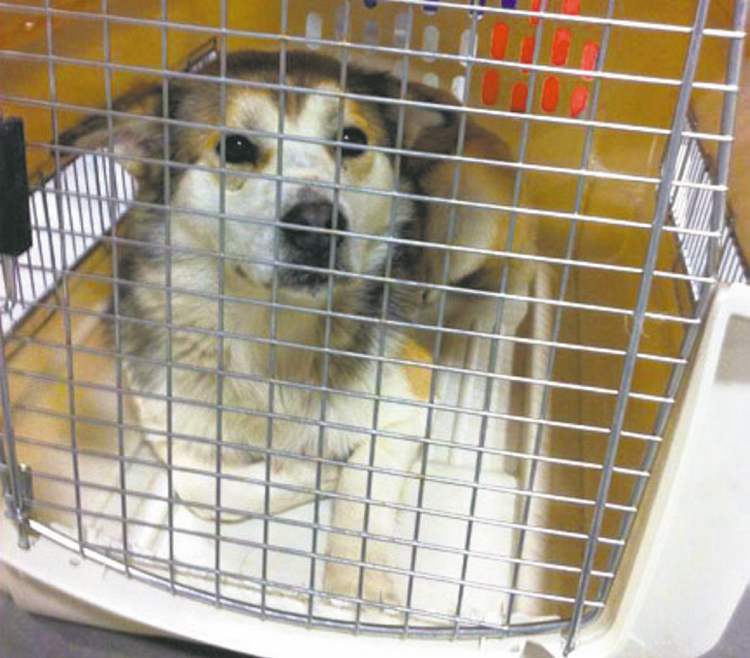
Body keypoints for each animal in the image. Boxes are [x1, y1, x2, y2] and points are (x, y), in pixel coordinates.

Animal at [61, 49, 538, 604]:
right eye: (237, 146)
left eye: (352, 138)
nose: (317, 224)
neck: (274, 331)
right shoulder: (166, 419)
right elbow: (206, 488)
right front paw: (313, 464)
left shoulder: (409, 397)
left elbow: (362, 483)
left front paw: (358, 576)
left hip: (474, 218)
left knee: (513, 273)